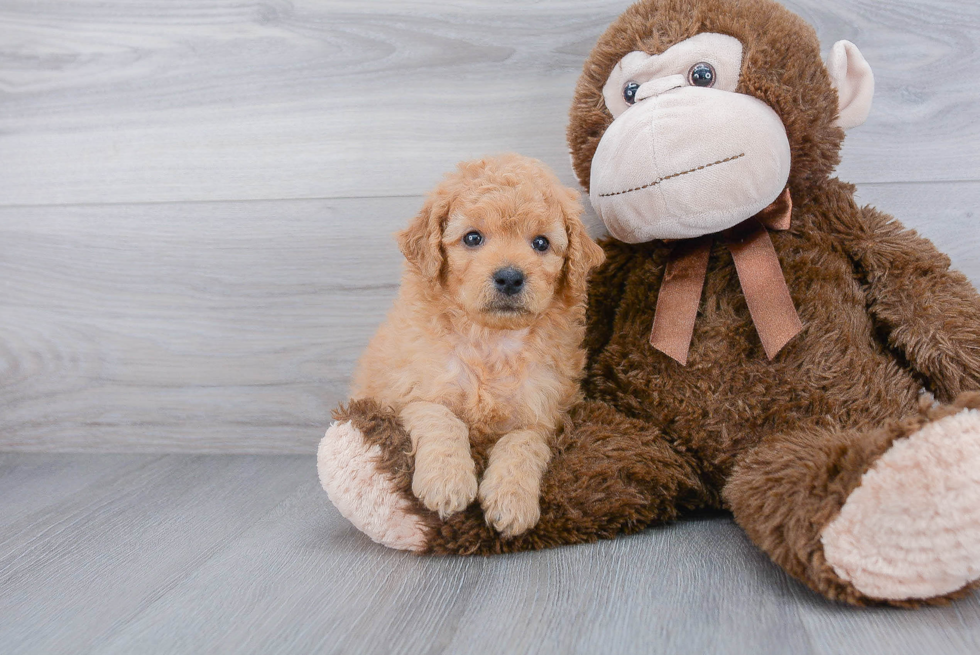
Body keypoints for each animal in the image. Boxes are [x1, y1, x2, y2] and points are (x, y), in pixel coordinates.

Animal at [348, 154, 600, 540]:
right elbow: (441, 418)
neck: (492, 340)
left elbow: (521, 444)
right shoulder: (410, 392)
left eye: (541, 243)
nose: (510, 277)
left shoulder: (544, 415)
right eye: (473, 237)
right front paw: (446, 483)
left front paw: (511, 501)